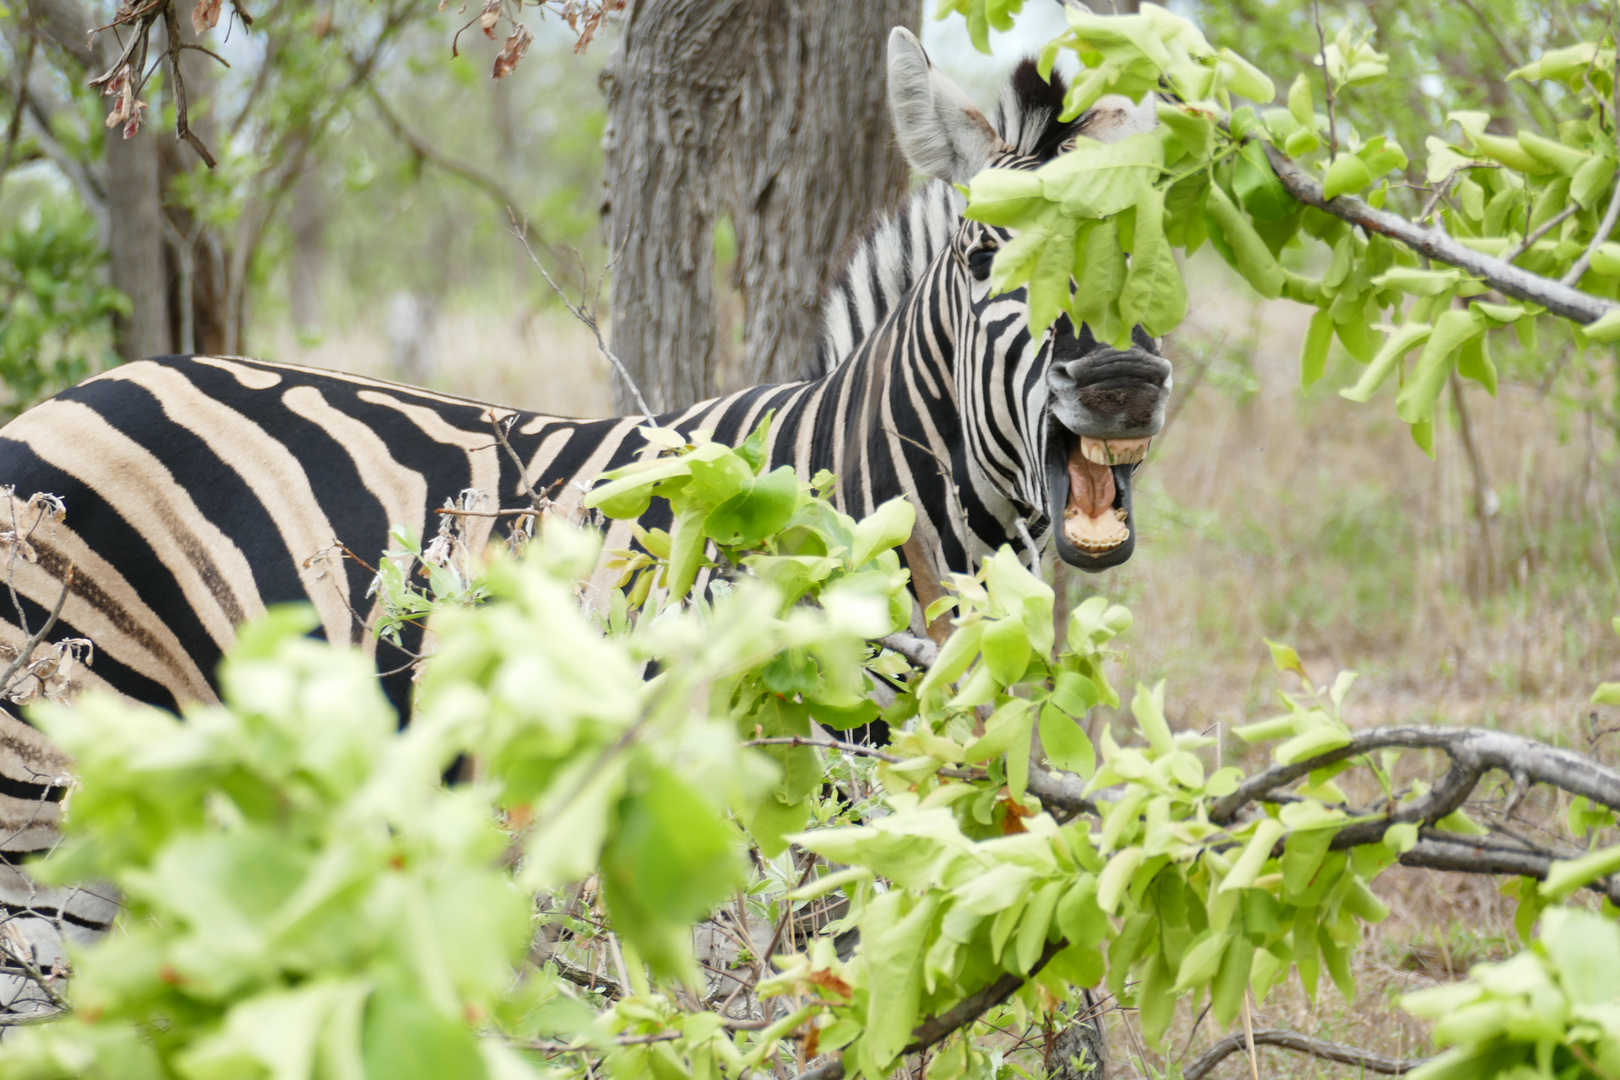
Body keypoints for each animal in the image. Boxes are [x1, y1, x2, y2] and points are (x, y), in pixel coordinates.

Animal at [0, 25, 1179, 971]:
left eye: (1155, 252)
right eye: (987, 255)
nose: (1120, 380)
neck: (888, 506)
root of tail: (63, 398)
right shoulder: (756, 807)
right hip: (43, 809)